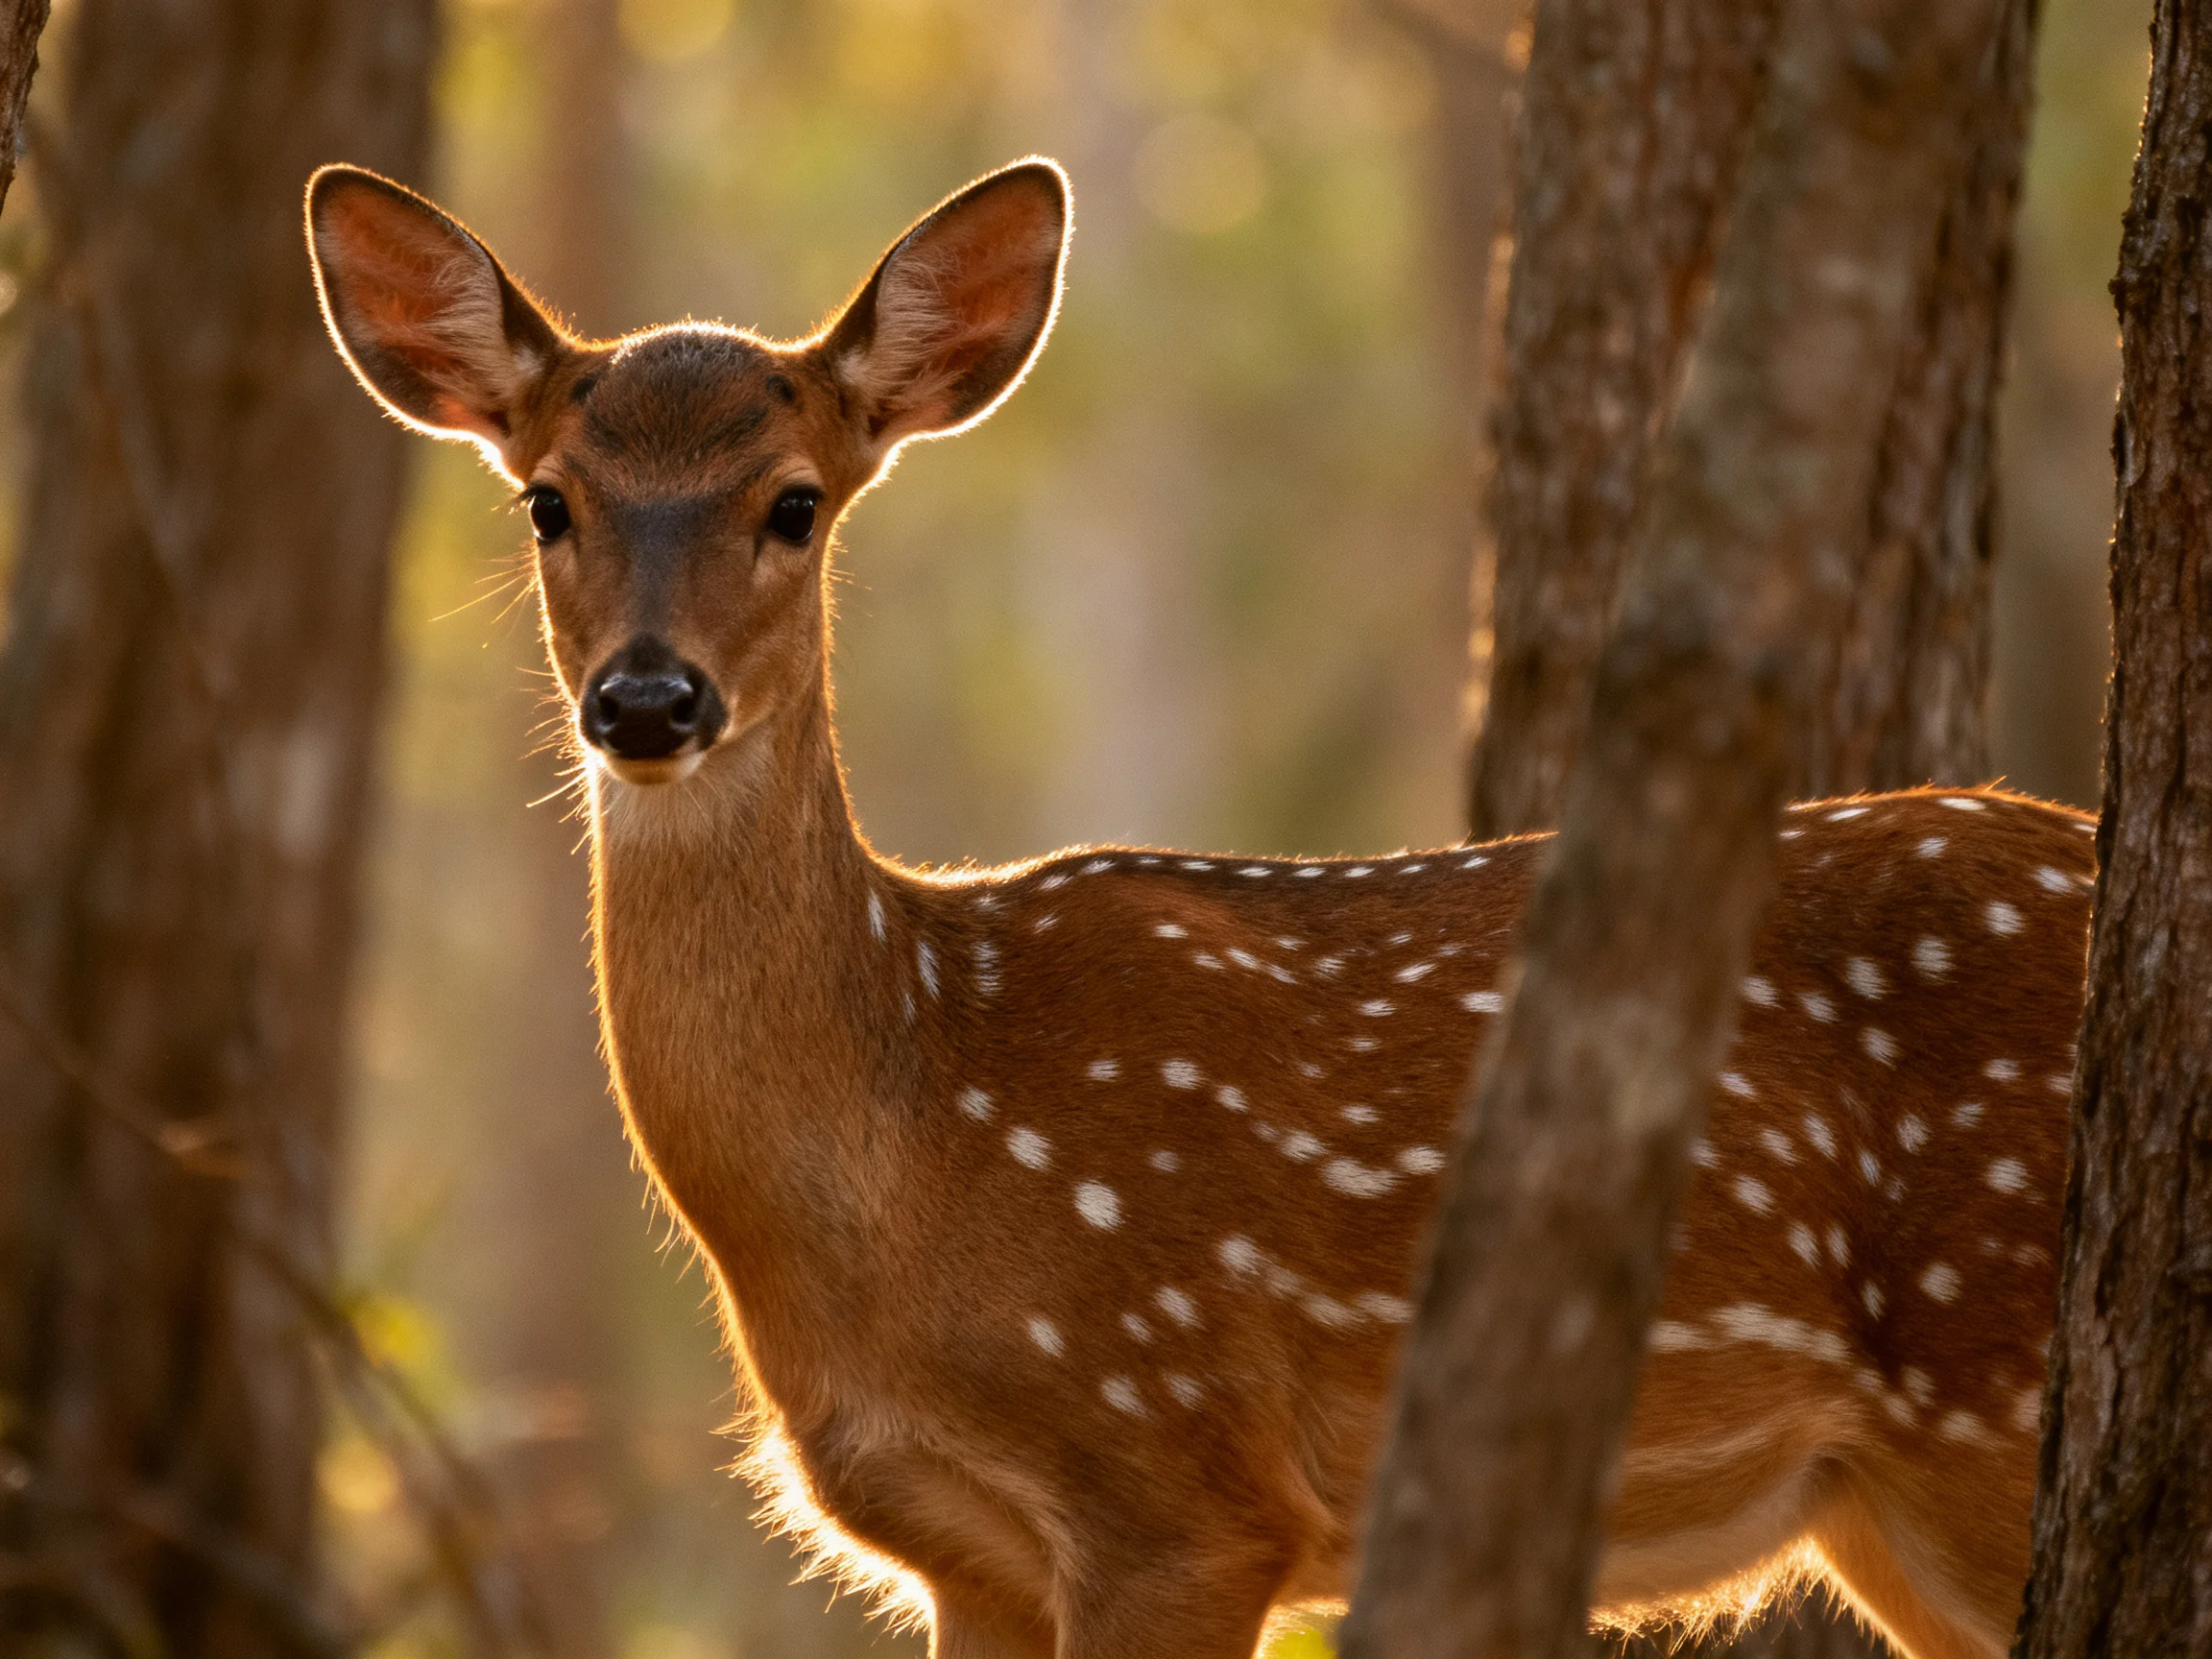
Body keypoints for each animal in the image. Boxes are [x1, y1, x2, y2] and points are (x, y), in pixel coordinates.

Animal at [306, 157, 2090, 1659]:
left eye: (793, 502)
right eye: (547, 500)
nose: (647, 700)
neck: (909, 1135)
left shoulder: (1181, 1485)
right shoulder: (965, 1552)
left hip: (1984, 1396)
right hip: (1876, 1505)